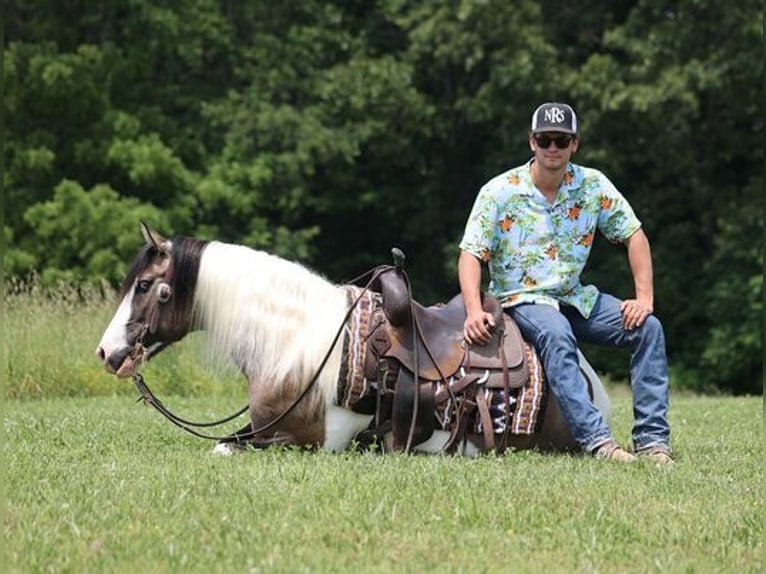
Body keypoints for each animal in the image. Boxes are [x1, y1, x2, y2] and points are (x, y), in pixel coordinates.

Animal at [96, 223, 612, 456]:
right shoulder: (257, 429)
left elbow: (225, 448)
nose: (106, 351)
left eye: (146, 285)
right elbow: (223, 442)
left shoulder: (300, 441)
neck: (293, 346)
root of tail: (593, 391)